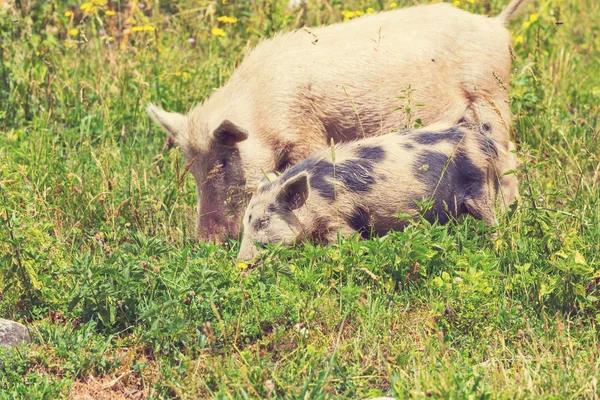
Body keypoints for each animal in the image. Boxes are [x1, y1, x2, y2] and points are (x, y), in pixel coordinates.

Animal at [148, 0, 532, 241]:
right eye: (192, 168)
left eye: (225, 161)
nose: (205, 241)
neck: (263, 111)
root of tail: (494, 24)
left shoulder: (307, 131)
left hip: (491, 96)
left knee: (508, 154)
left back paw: (510, 211)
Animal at [239, 122, 502, 260]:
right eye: (245, 222)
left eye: (263, 222)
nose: (242, 262)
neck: (316, 198)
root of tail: (482, 141)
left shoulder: (338, 219)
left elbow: (347, 241)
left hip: (480, 188)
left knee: (494, 221)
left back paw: (493, 247)